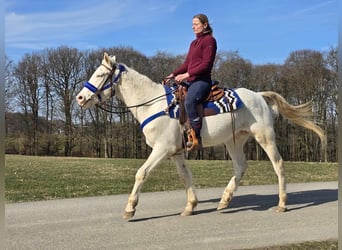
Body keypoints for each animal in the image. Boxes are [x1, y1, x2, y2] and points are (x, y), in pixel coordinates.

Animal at [76, 52, 324, 219]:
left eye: (100, 74)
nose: (79, 98)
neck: (154, 104)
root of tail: (259, 95)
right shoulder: (176, 152)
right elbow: (185, 177)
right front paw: (190, 206)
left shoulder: (162, 149)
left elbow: (141, 173)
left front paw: (130, 209)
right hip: (234, 140)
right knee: (240, 167)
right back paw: (225, 199)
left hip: (265, 137)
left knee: (278, 165)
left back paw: (282, 204)